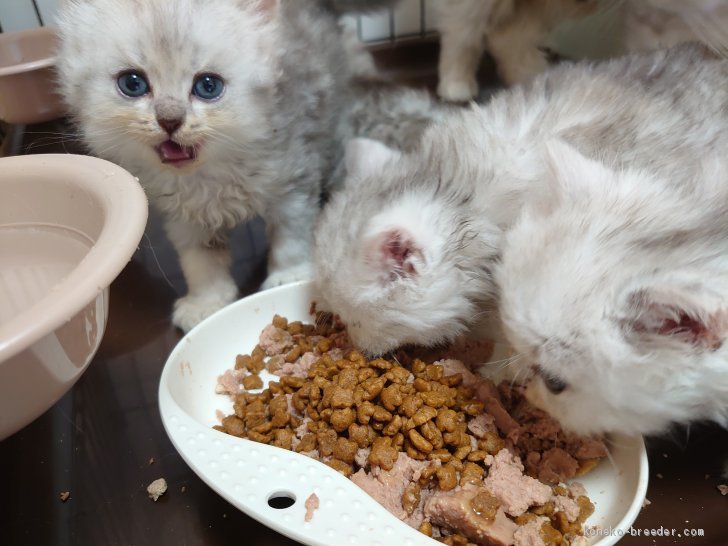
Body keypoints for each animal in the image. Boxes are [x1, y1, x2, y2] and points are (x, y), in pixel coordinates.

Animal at [56, 0, 437, 332]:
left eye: (208, 86)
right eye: (132, 83)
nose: (169, 119)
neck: (210, 175)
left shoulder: (293, 180)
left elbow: (291, 236)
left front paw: (289, 275)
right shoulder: (183, 216)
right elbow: (200, 262)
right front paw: (206, 302)